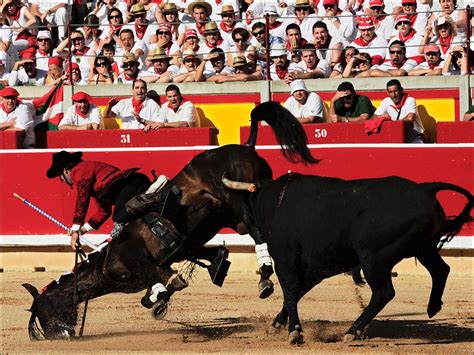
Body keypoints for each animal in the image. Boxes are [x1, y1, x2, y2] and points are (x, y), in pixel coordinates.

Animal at [21, 101, 318, 340]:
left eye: (42, 309)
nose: (57, 336)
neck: (107, 262)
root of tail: (246, 147)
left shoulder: (149, 265)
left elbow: (166, 282)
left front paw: (162, 296)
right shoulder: (184, 249)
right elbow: (210, 257)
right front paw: (161, 299)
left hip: (239, 203)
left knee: (260, 235)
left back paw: (265, 279)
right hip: (236, 217)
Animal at [223, 174, 474, 344]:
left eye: (242, 203)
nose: (239, 225)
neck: (275, 201)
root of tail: (425, 189)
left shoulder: (286, 258)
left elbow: (291, 290)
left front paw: (294, 331)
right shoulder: (316, 267)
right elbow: (297, 292)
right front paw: (277, 324)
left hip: (374, 259)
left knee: (384, 293)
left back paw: (353, 331)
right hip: (424, 248)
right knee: (441, 270)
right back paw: (432, 307)